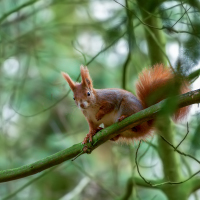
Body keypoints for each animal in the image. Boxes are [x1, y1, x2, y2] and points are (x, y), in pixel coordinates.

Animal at [61, 64, 189, 144]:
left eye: (88, 93)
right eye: (74, 98)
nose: (81, 105)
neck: (90, 107)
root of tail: (147, 123)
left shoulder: (109, 98)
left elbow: (108, 106)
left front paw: (100, 114)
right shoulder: (89, 118)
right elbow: (92, 126)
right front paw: (90, 134)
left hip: (127, 105)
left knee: (135, 124)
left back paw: (125, 118)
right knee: (116, 137)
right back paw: (104, 132)